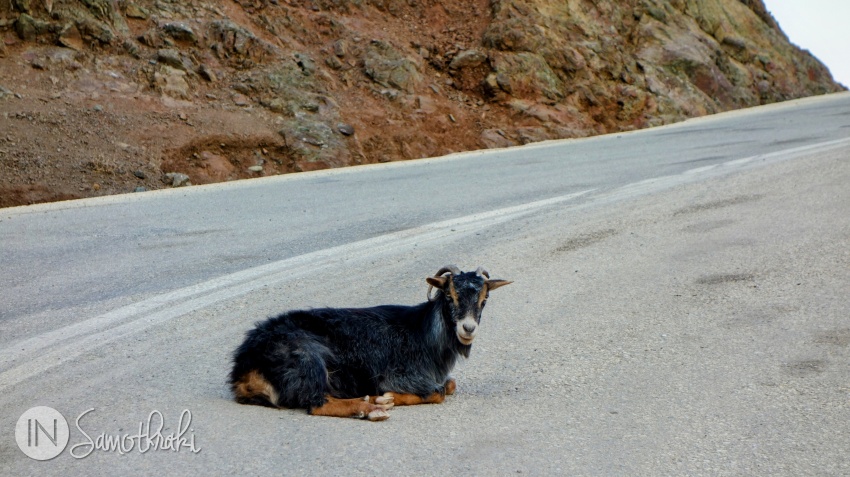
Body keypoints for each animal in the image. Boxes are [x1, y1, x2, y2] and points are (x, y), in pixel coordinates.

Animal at [230, 264, 510, 420]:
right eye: (450, 295)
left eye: (484, 299)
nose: (468, 328)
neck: (423, 332)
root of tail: (243, 367)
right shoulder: (397, 374)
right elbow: (438, 391)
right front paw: (388, 397)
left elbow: (450, 384)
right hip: (307, 357)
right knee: (317, 403)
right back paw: (371, 407)